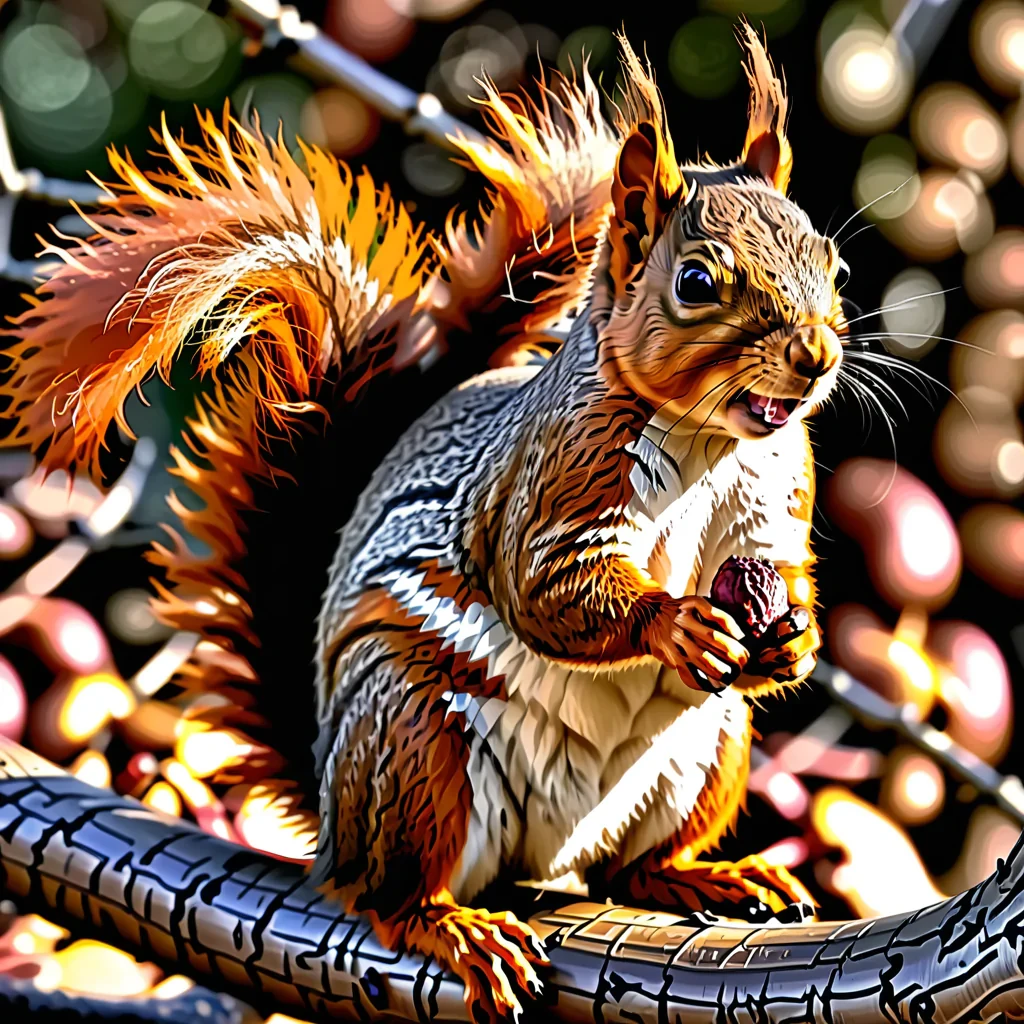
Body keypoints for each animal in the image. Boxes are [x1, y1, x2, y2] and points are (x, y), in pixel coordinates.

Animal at [1, 25, 847, 1023]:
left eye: (834, 264)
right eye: (696, 280)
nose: (817, 354)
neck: (711, 440)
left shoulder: (774, 511)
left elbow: (783, 576)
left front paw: (795, 641)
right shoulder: (549, 481)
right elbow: (543, 584)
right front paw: (674, 624)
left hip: (709, 749)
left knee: (629, 869)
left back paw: (701, 877)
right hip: (413, 743)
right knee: (387, 891)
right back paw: (454, 927)